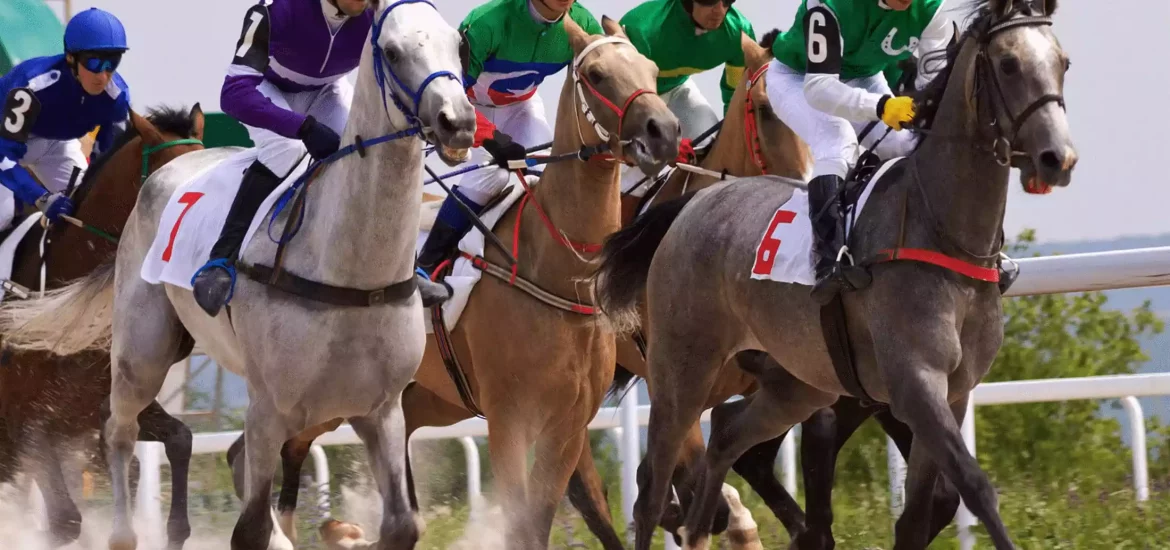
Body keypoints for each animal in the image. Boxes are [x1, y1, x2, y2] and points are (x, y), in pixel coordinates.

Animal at [595, 0, 1076, 548]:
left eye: (1063, 62)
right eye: (1009, 64)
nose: (1056, 159)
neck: (944, 233)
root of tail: (695, 202)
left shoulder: (952, 393)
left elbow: (921, 512)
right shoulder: (917, 384)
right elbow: (975, 487)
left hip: (798, 384)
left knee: (729, 435)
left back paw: (707, 527)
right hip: (683, 369)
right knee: (654, 484)